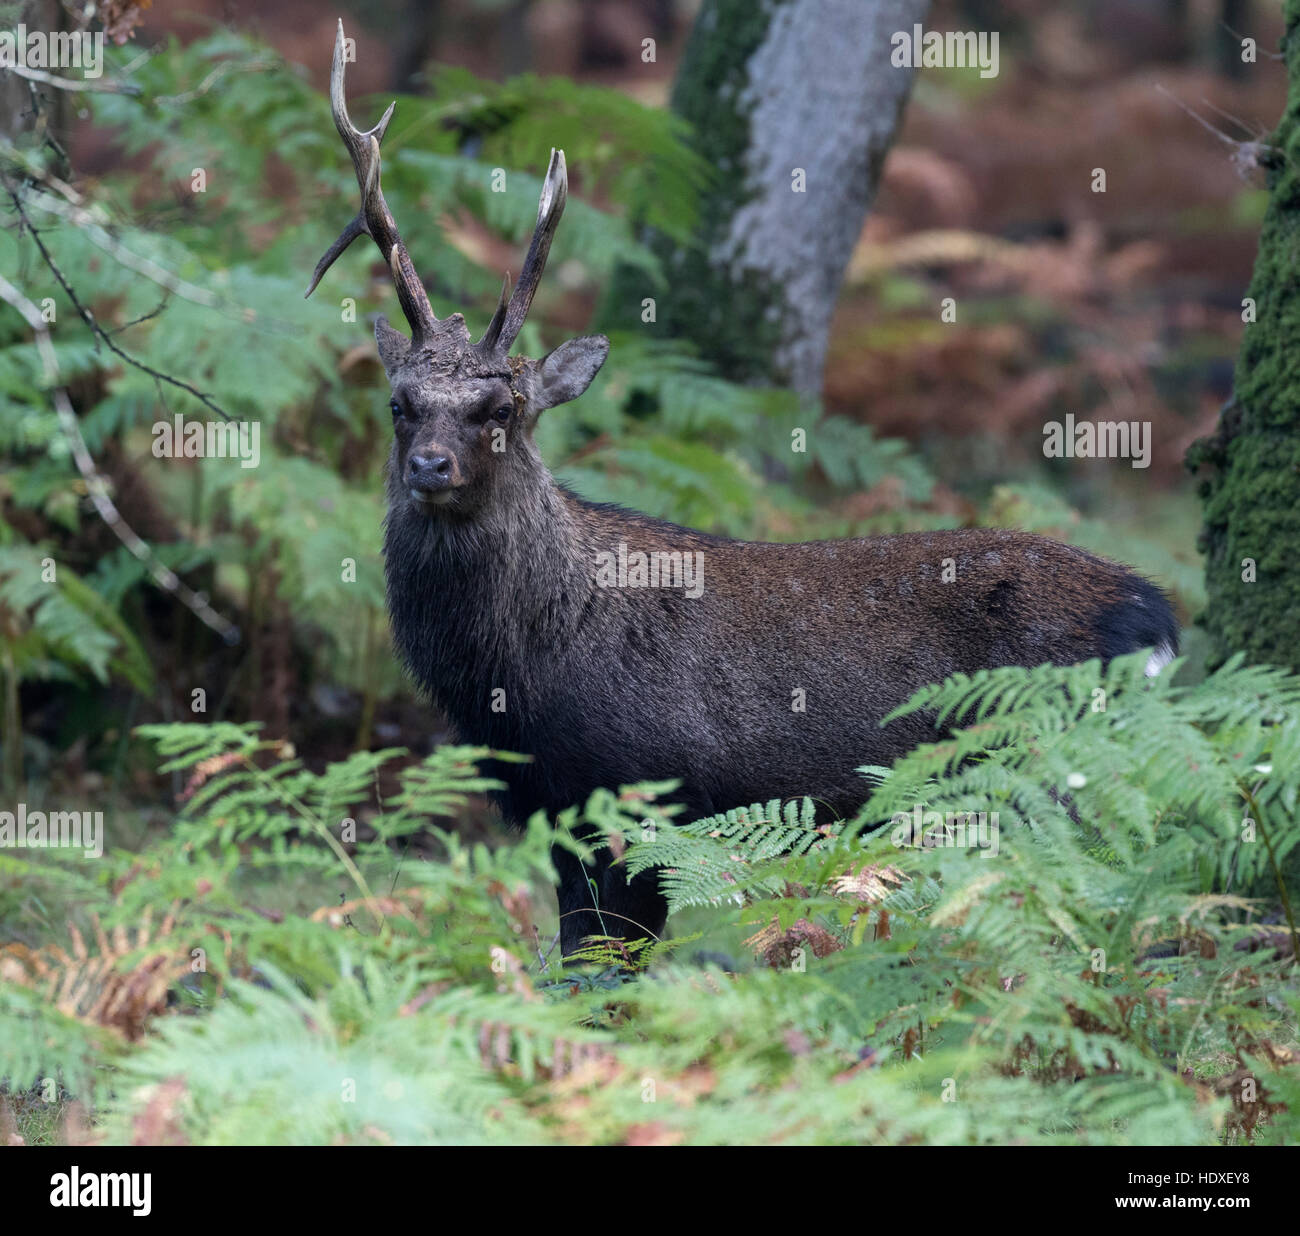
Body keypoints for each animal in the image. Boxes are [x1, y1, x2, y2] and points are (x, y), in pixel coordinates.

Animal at [307, 22, 1178, 958]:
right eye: (400, 403)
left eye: (501, 407)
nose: (431, 467)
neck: (515, 680)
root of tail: (1156, 613)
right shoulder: (552, 809)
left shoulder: (642, 792)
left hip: (1047, 770)